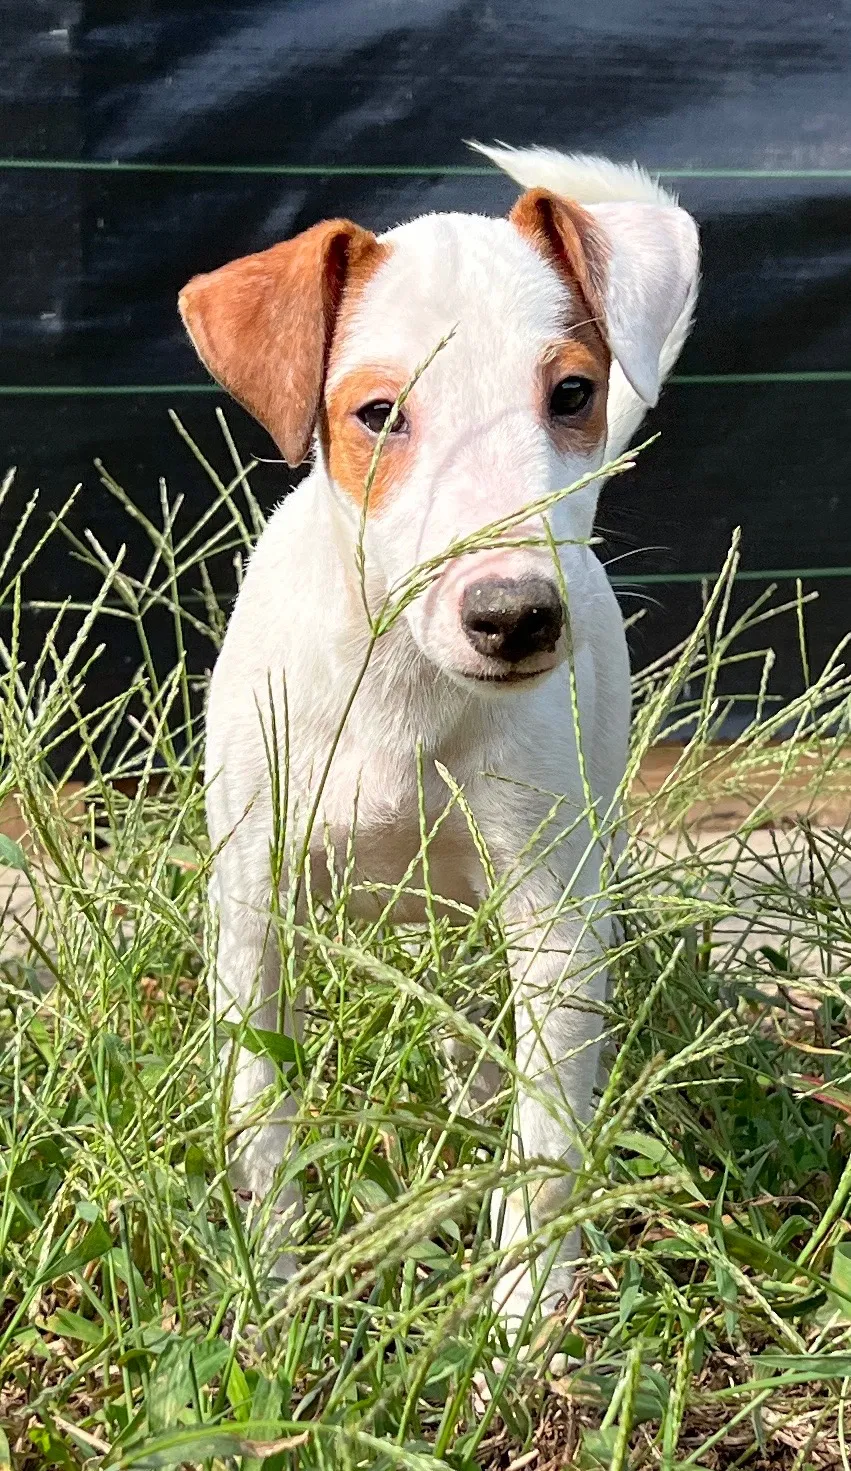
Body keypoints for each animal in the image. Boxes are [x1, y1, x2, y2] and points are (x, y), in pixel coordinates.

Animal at [177, 143, 699, 1329]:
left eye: (571, 394)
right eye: (378, 413)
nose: (513, 615)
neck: (404, 693)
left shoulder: (555, 927)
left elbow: (544, 1150)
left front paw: (520, 1327)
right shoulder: (253, 911)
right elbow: (262, 1118)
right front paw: (276, 1295)